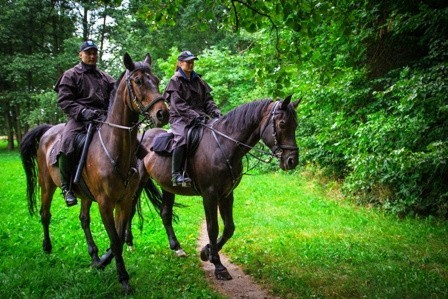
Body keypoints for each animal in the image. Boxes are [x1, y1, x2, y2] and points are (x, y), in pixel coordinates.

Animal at [19, 52, 170, 294]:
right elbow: (116, 240)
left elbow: (118, 237)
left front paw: (104, 261)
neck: (115, 149)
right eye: (138, 81)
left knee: (83, 219)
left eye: (155, 80)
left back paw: (94, 255)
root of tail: (48, 131)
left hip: (85, 196)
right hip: (47, 185)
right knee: (45, 214)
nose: (162, 113)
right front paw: (123, 279)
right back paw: (47, 247)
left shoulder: (124, 202)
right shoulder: (105, 204)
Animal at [135, 96, 300, 282]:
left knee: (165, 214)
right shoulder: (210, 195)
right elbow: (212, 228)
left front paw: (206, 251)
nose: (292, 161)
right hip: (138, 182)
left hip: (168, 188)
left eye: (295, 124)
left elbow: (229, 228)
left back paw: (177, 247)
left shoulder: (227, 195)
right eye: (282, 124)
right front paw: (217, 265)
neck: (223, 145)